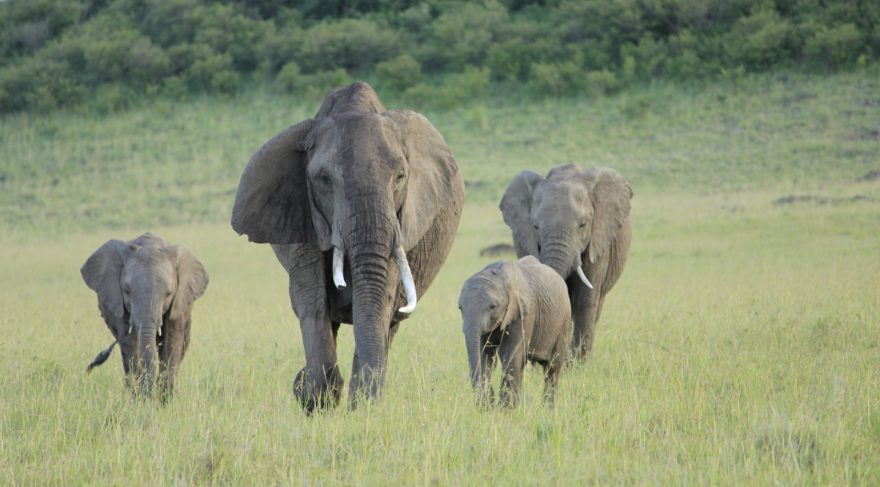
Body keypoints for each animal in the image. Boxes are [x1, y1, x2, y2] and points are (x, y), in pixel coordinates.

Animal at [81, 232, 209, 399]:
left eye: (168, 293)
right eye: (127, 291)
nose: (150, 396)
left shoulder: (178, 303)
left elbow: (171, 341)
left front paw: (166, 400)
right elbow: (130, 342)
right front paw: (139, 399)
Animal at [231, 82, 464, 412]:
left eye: (400, 177)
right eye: (324, 180)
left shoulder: (398, 224)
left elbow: (380, 300)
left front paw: (362, 406)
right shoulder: (304, 211)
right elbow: (312, 301)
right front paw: (316, 397)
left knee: (390, 325)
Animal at [459, 256, 572, 408]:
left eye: (493, 307)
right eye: (460, 308)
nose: (488, 401)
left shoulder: (524, 312)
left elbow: (510, 355)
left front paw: (504, 409)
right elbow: (484, 355)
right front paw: (488, 407)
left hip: (563, 322)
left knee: (552, 368)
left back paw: (548, 409)